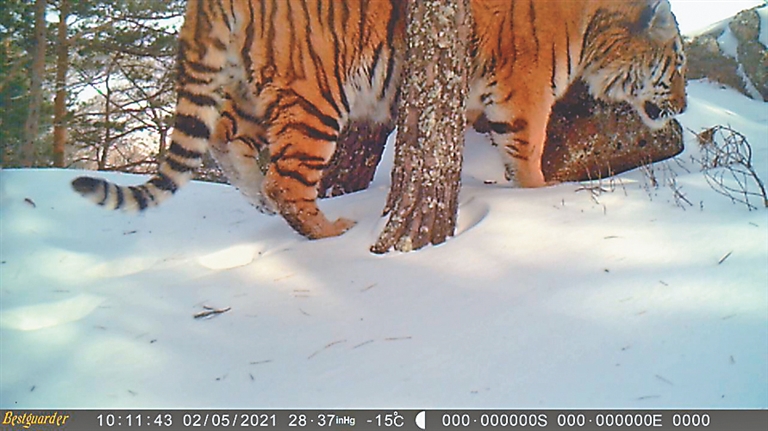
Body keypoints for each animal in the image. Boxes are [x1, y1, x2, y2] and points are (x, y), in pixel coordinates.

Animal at [70, 0, 684, 241]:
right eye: (677, 64)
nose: (682, 105)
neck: (597, 30)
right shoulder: (524, 95)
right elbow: (528, 158)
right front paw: (536, 198)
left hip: (247, 86)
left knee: (223, 138)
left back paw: (259, 198)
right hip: (316, 96)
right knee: (287, 180)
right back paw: (329, 230)